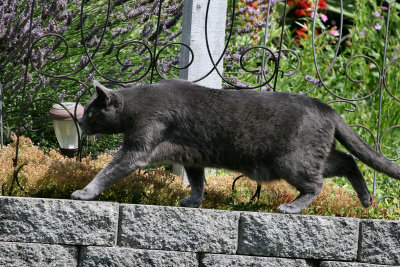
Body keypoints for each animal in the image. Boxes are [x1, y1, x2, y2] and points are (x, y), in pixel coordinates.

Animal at [72, 78, 400, 215]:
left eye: (90, 111)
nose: (81, 122)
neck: (134, 107)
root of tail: (328, 108)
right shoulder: (191, 156)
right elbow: (197, 181)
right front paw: (193, 202)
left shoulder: (139, 146)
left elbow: (109, 170)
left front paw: (84, 193)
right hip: (314, 156)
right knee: (348, 161)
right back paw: (367, 200)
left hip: (293, 161)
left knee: (316, 184)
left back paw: (292, 208)